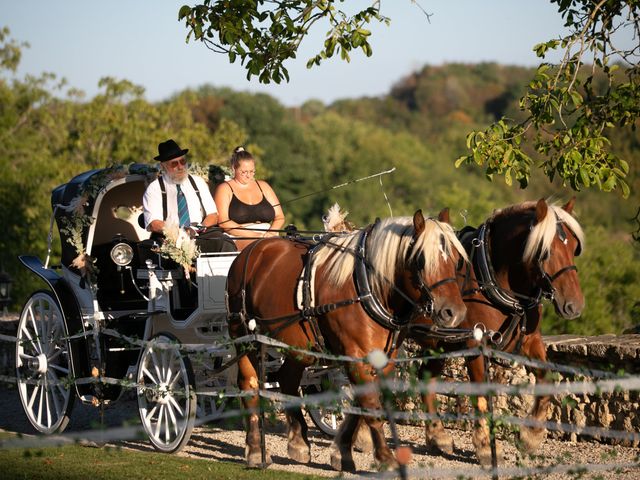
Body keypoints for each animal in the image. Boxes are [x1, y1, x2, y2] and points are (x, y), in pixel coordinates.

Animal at [228, 211, 468, 472]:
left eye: (457, 260)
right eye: (421, 260)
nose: (454, 312)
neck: (370, 287)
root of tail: (251, 251)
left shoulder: (384, 360)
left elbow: (361, 404)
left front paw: (341, 451)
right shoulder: (355, 357)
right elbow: (370, 407)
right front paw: (385, 458)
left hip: (300, 345)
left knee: (288, 379)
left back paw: (298, 442)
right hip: (244, 336)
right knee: (250, 384)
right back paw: (254, 450)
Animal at [416, 198, 584, 464]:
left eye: (575, 247)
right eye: (544, 251)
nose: (574, 306)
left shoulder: (530, 340)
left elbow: (546, 378)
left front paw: (530, 436)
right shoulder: (475, 345)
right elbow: (482, 396)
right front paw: (485, 447)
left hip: (441, 345)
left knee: (425, 377)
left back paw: (437, 436)